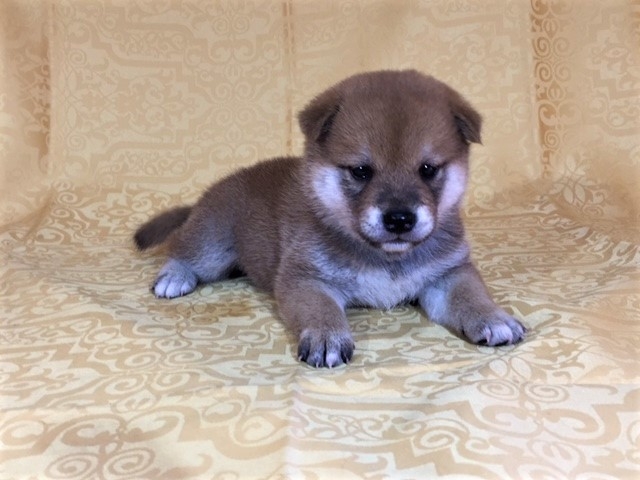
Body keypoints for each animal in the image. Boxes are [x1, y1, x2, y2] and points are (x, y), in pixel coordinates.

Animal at [134, 70, 526, 368]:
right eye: (361, 171)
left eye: (428, 169)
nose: (399, 218)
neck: (387, 258)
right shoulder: (305, 278)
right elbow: (320, 309)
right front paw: (326, 338)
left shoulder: (448, 275)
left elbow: (470, 296)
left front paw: (493, 318)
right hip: (212, 245)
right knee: (183, 252)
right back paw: (174, 278)